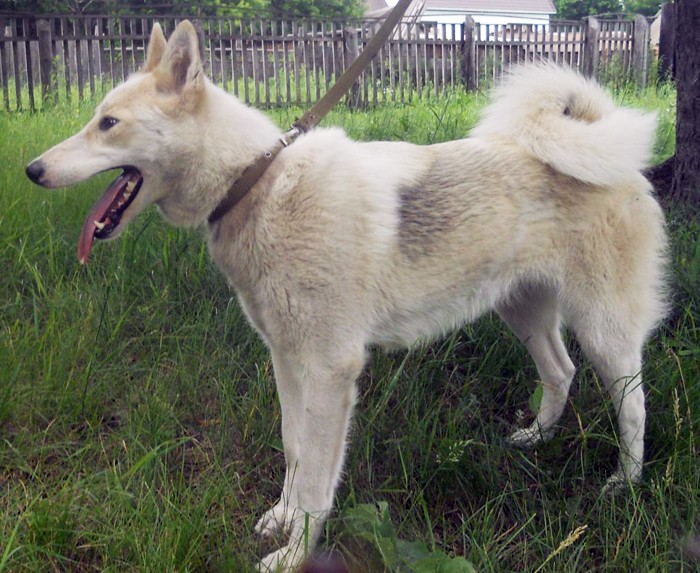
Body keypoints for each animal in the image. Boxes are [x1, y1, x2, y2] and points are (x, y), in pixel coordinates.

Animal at [26, 21, 668, 572]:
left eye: (109, 123)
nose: (32, 170)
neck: (256, 183)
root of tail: (619, 161)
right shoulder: (287, 361)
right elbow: (294, 451)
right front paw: (282, 519)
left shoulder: (331, 370)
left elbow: (317, 478)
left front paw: (294, 553)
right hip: (525, 312)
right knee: (560, 372)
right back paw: (536, 438)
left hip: (604, 332)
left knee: (634, 404)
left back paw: (625, 485)